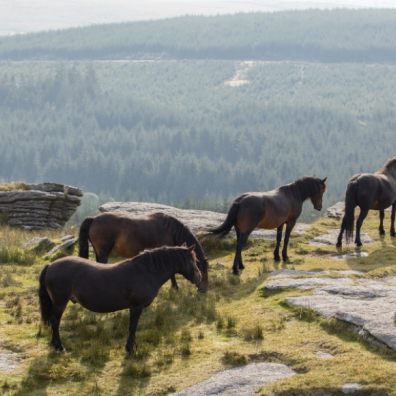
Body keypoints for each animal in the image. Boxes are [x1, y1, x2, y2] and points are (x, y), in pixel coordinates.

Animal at [38, 246, 201, 354]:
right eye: (193, 260)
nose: (199, 278)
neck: (146, 271)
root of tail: (50, 265)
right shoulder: (136, 307)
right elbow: (132, 327)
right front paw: (130, 349)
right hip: (60, 302)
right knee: (55, 322)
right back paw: (60, 347)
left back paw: (54, 345)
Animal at [76, 212, 207, 292]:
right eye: (202, 269)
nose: (203, 290)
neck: (170, 230)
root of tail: (94, 219)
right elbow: (172, 273)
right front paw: (175, 288)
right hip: (103, 252)